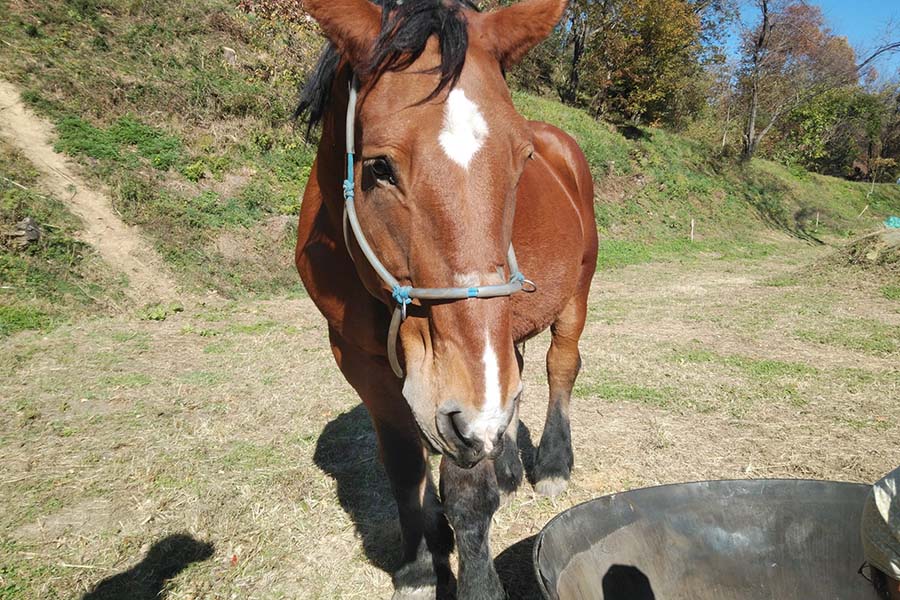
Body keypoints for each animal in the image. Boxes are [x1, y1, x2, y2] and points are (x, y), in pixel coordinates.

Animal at [292, 1, 596, 596]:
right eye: (378, 167)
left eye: (522, 160)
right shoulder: (359, 360)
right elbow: (405, 464)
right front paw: (419, 563)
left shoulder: (465, 397)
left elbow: (468, 491)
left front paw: (475, 579)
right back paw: (508, 466)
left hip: (576, 291)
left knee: (560, 365)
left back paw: (551, 464)